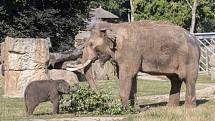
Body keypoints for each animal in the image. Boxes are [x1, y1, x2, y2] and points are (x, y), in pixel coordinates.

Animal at [67, 20, 200, 108]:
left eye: (90, 44)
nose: (101, 98)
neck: (114, 26)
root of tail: (196, 41)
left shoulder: (129, 50)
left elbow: (127, 74)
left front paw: (125, 109)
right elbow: (132, 76)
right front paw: (135, 109)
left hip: (190, 59)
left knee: (188, 79)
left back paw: (189, 108)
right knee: (175, 80)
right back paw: (170, 108)